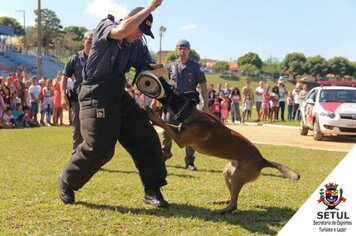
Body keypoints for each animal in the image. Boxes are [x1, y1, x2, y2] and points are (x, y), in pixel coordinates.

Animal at [146, 107, 298, 214]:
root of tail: (262, 160)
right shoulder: (179, 131)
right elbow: (168, 124)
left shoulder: (181, 139)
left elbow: (164, 123)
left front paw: (152, 114)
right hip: (228, 173)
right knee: (231, 197)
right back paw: (220, 202)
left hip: (237, 177)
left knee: (234, 204)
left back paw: (221, 211)